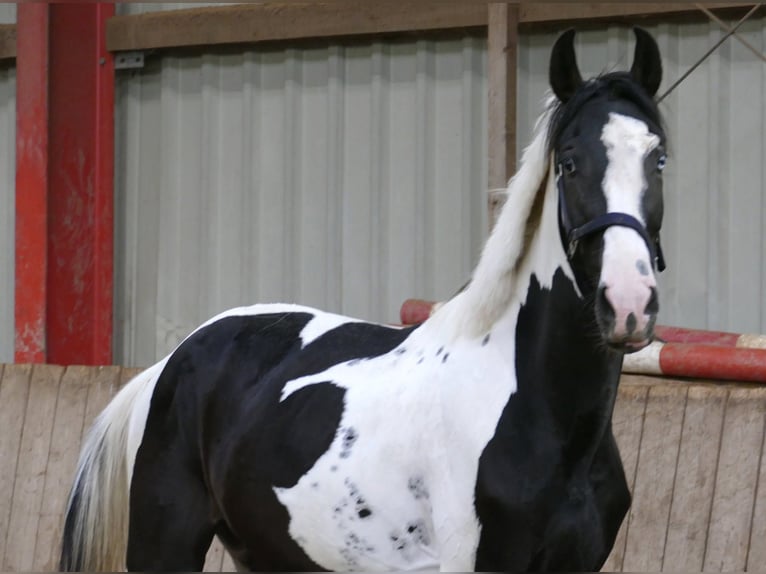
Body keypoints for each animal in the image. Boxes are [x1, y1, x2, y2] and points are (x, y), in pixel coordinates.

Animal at [60, 27, 668, 572]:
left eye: (658, 158)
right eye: (569, 162)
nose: (628, 302)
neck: (544, 415)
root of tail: (170, 363)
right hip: (165, 544)